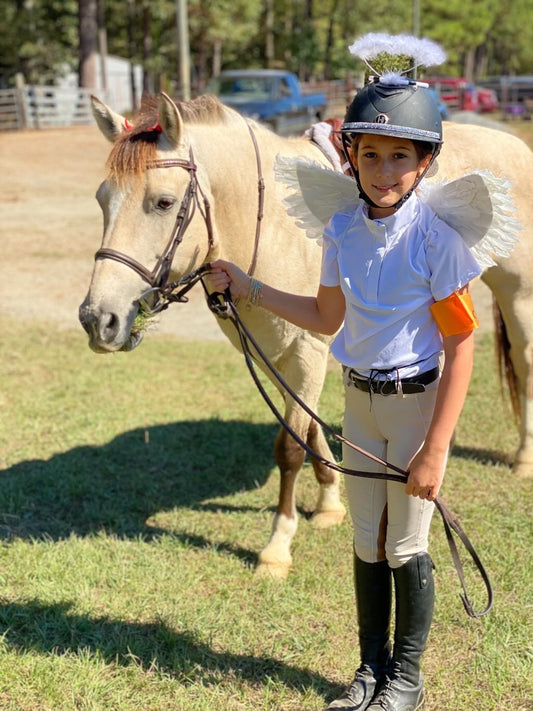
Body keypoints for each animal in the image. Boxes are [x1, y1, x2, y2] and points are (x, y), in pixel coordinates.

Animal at [79, 90, 532, 580]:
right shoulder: (277, 354)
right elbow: (307, 428)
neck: (270, 227)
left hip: (517, 294)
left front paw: (277, 546)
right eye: (102, 199)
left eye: (163, 202)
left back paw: (523, 459)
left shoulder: (307, 351)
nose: (97, 319)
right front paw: (330, 504)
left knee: (524, 365)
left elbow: (289, 449)